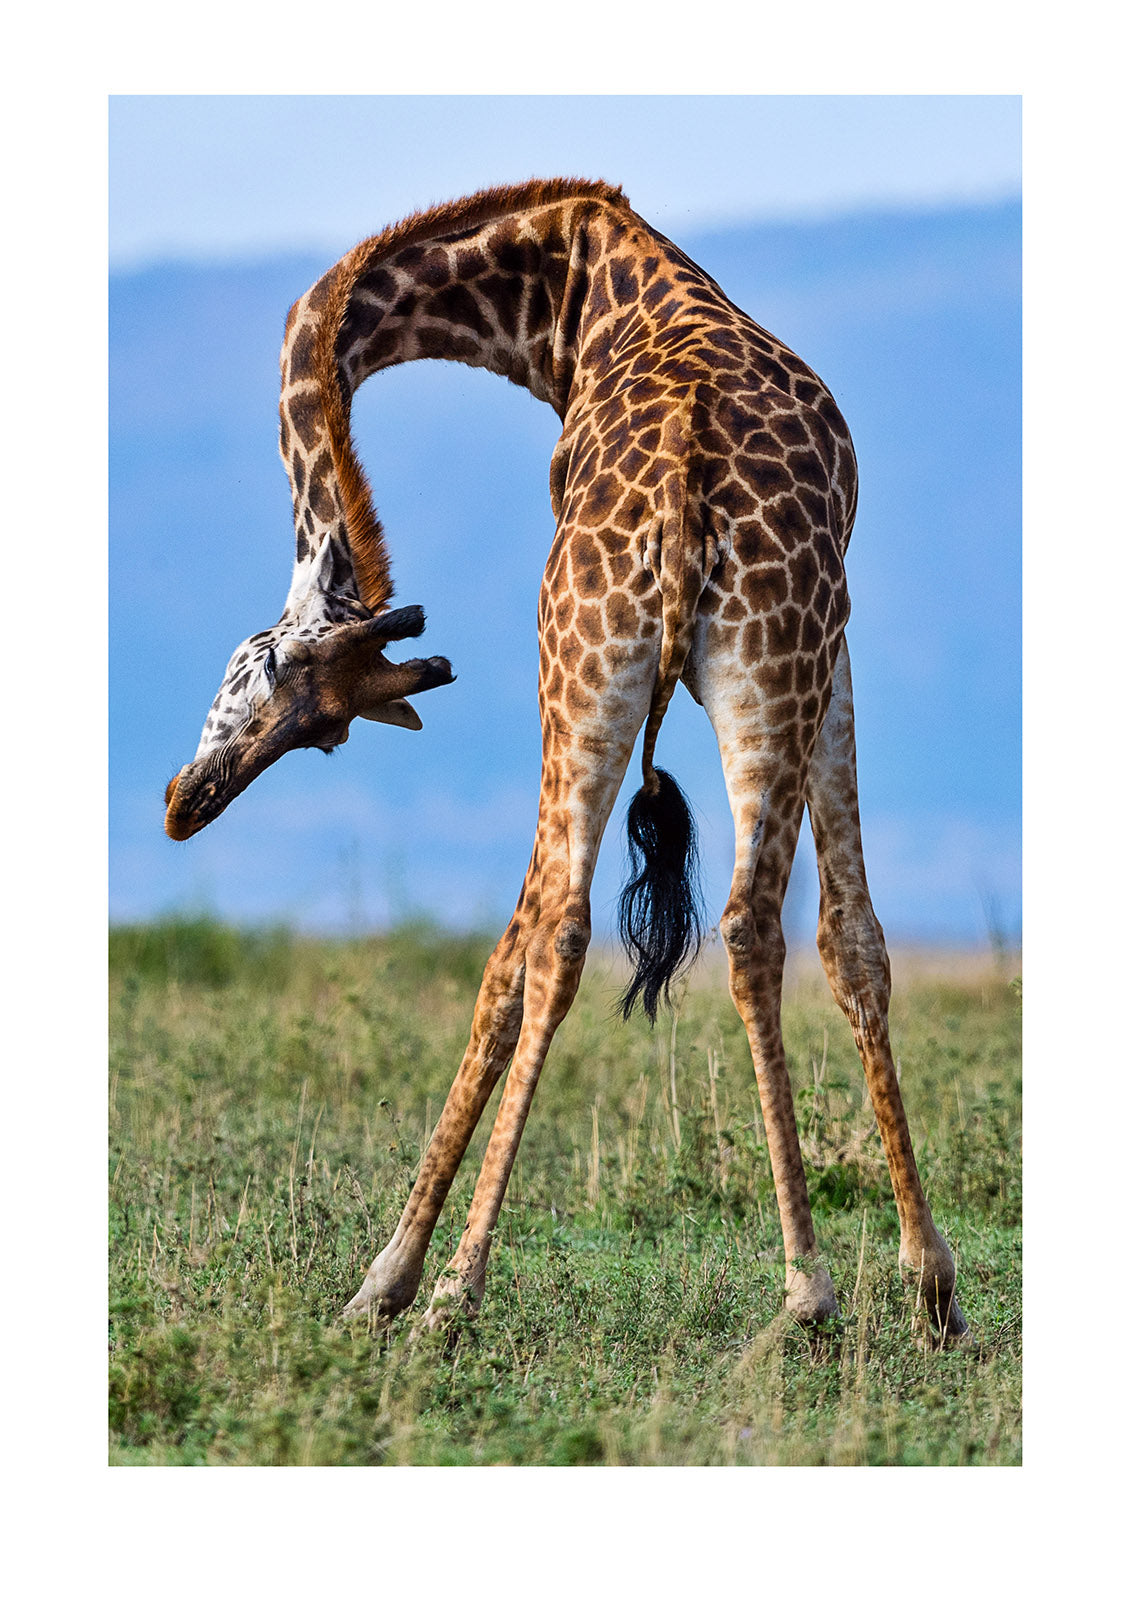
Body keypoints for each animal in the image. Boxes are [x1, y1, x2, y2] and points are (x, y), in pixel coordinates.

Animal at [163, 175, 966, 1344]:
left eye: (285, 688)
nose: (187, 801)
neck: (567, 288)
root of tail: (684, 487)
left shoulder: (829, 642)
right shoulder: (838, 639)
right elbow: (854, 940)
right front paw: (933, 1287)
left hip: (599, 664)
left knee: (555, 932)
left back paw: (445, 1285)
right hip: (738, 662)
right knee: (722, 926)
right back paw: (795, 1296)